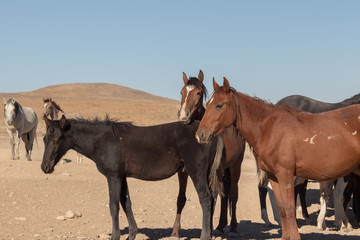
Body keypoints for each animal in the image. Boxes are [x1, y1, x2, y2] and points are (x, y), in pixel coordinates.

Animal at [197, 77, 360, 240]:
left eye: (219, 105)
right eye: (208, 103)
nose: (200, 135)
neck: (271, 129)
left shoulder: (285, 175)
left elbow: (289, 208)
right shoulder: (274, 176)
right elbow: (282, 208)